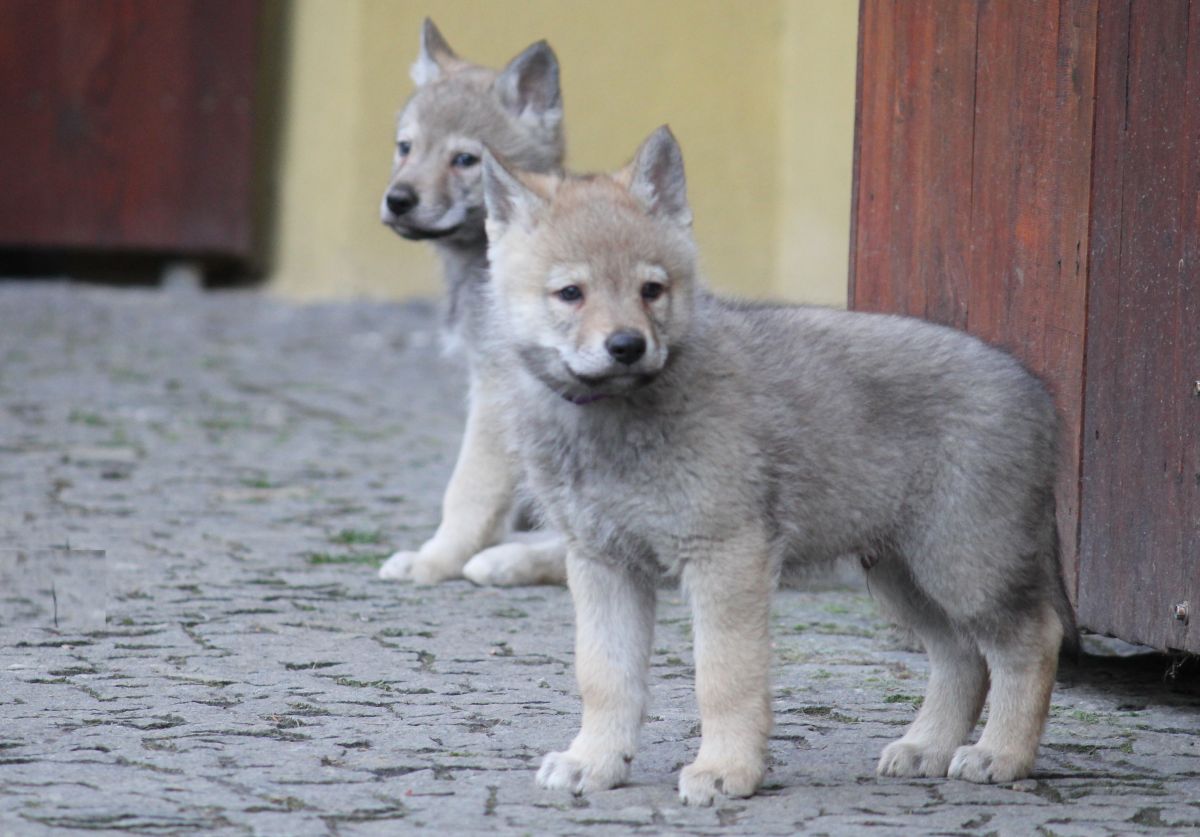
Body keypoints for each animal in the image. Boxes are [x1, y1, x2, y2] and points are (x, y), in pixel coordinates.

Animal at [379, 16, 571, 582]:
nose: (398, 200)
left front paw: (435, 560)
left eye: (464, 160)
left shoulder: (495, 392)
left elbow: (468, 490)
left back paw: (504, 560)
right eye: (405, 148)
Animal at [477, 127, 1080, 801]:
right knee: (961, 657)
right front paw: (596, 761)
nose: (627, 346)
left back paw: (1002, 753)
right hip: (905, 577)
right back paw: (927, 746)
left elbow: (723, 680)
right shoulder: (603, 565)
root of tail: (1036, 391)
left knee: (1031, 641)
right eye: (571, 294)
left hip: (965, 565)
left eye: (651, 290)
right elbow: (604, 676)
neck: (617, 419)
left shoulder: (725, 558)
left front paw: (725, 769)